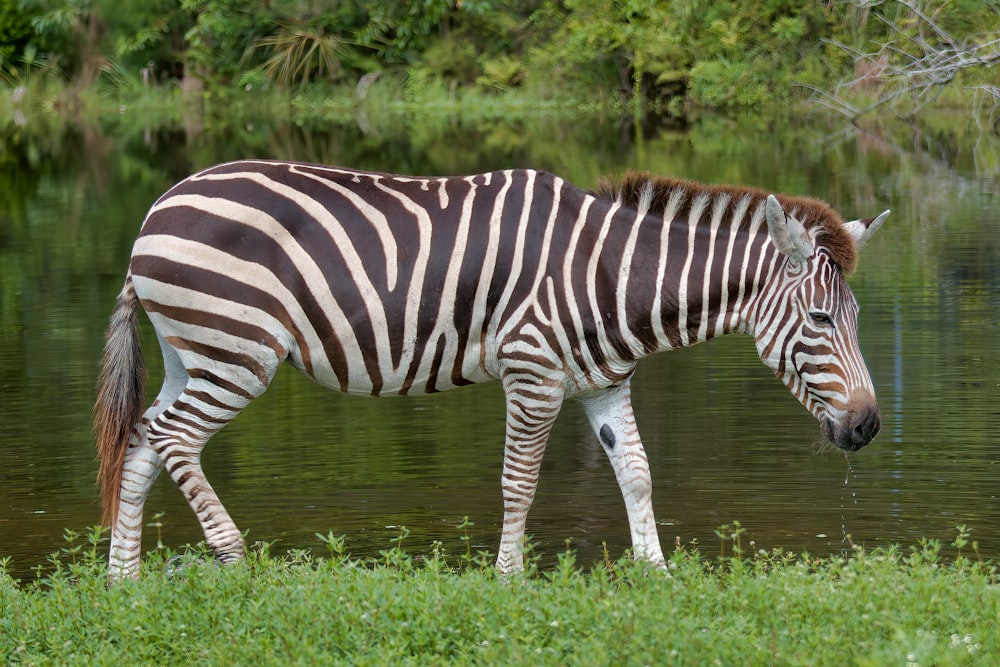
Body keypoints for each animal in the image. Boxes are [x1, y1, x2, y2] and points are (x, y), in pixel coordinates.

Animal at [94, 160, 892, 580]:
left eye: (854, 320)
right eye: (821, 322)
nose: (868, 428)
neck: (609, 272)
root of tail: (154, 210)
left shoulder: (603, 382)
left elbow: (636, 473)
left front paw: (656, 574)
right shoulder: (531, 370)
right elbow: (520, 481)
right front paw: (509, 579)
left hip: (193, 352)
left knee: (142, 439)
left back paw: (123, 579)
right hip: (238, 350)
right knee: (173, 437)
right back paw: (232, 556)